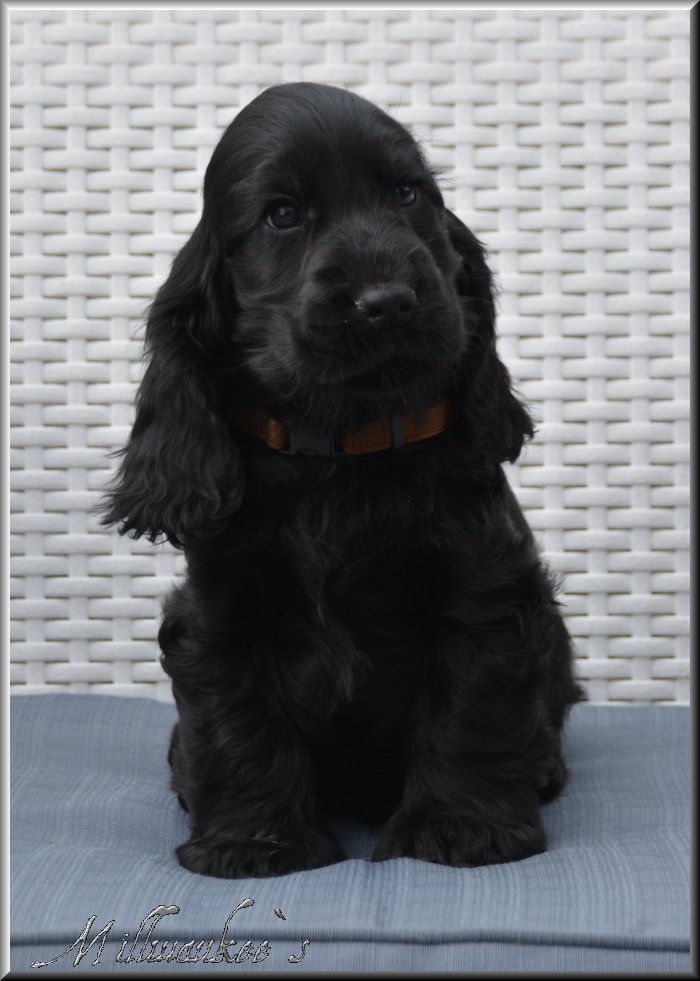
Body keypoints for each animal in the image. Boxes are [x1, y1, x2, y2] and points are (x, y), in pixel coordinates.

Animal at [101, 82, 581, 878]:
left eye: (409, 194)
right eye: (282, 214)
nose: (387, 300)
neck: (342, 450)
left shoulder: (483, 594)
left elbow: (472, 710)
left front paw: (461, 827)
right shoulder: (222, 613)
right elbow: (239, 724)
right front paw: (253, 840)